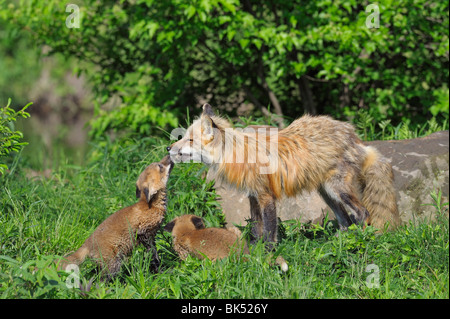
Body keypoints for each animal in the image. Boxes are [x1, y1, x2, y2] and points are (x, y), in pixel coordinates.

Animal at [168, 104, 400, 246]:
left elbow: (270, 230)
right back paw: (335, 242)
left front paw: (268, 254)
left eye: (190, 140)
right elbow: (257, 228)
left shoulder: (267, 196)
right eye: (184, 137)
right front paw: (254, 250)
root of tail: (353, 135)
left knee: (362, 213)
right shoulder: (253, 195)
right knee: (345, 220)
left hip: (337, 189)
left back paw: (359, 239)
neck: (237, 153)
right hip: (326, 192)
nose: (169, 148)